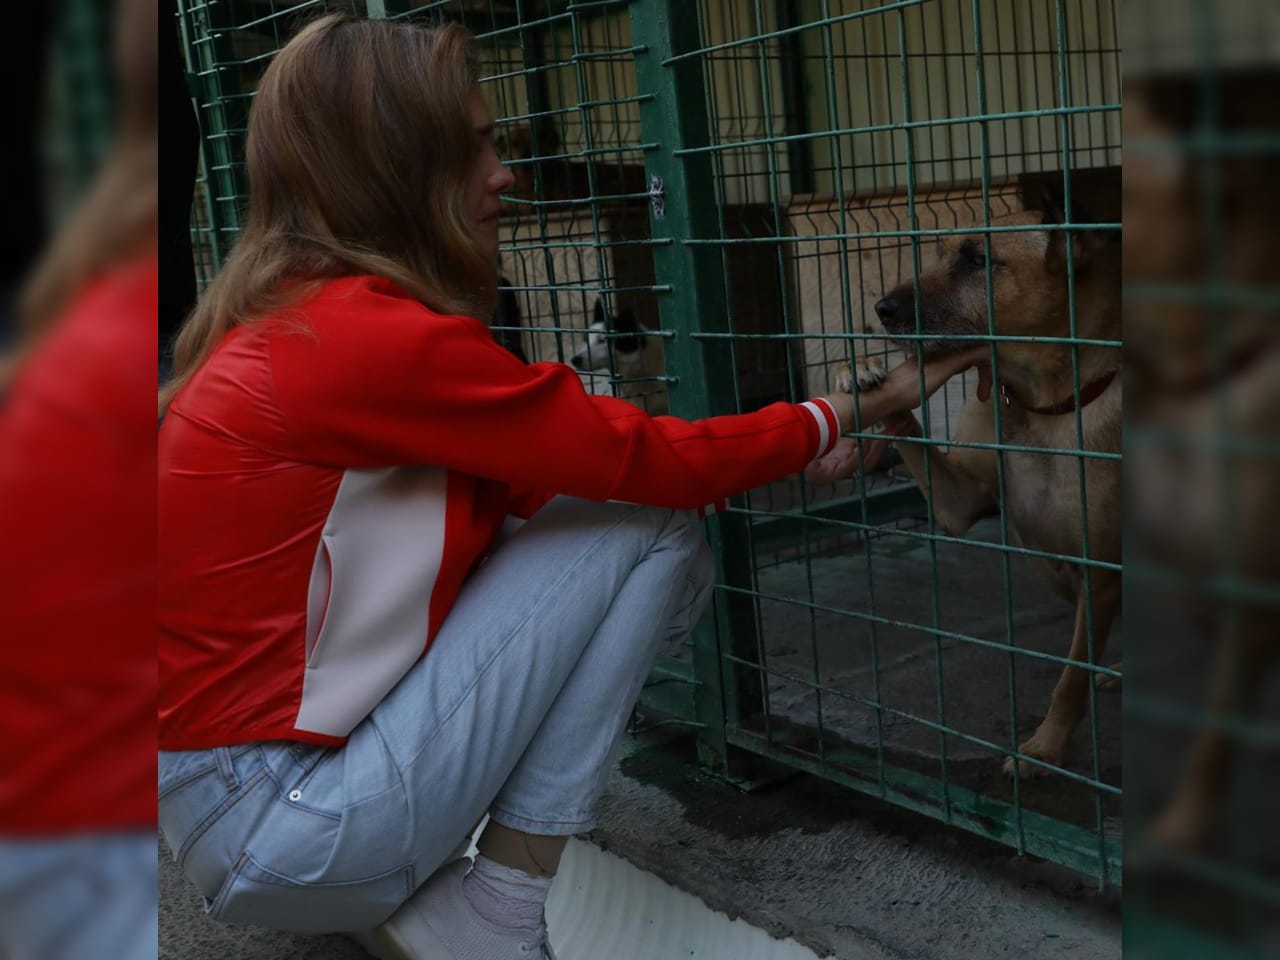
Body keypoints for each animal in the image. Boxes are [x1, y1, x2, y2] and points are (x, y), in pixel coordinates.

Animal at [870, 203, 1121, 783]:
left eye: (978, 261)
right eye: (939, 253)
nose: (882, 309)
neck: (1045, 407)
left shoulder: (1099, 577)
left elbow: (1070, 678)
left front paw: (1046, 748)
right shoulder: (959, 504)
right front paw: (864, 379)